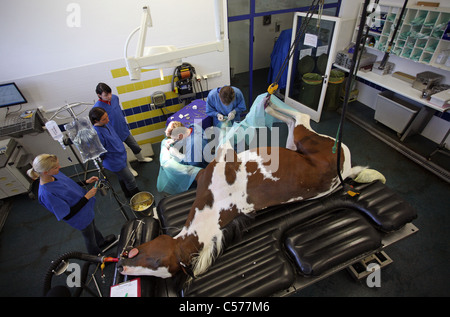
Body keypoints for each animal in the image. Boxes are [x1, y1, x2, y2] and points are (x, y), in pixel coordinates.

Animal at [118, 104, 364, 276]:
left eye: (154, 261)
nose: (122, 266)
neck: (216, 203)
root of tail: (346, 168)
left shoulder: (222, 153)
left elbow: (219, 136)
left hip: (306, 137)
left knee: (301, 117)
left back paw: (268, 103)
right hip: (294, 143)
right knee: (293, 121)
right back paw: (269, 105)